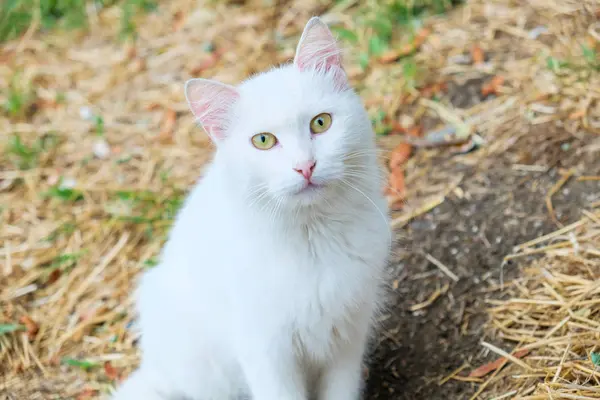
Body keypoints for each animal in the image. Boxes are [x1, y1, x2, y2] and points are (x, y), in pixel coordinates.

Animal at [111, 16, 394, 400]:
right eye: (263, 141)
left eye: (321, 123)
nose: (305, 167)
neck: (314, 237)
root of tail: (158, 370)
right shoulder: (267, 353)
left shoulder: (347, 340)